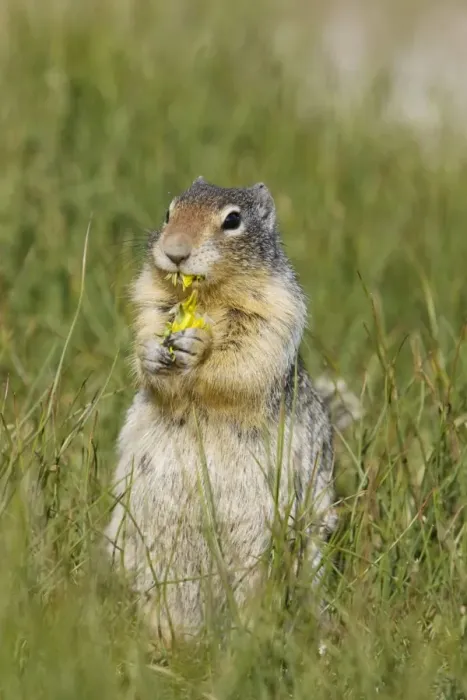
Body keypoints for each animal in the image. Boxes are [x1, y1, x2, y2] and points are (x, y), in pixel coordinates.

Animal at [105, 177, 362, 644]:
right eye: (169, 212)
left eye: (232, 220)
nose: (175, 251)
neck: (205, 295)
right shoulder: (151, 300)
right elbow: (150, 335)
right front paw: (152, 351)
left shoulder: (274, 311)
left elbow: (244, 359)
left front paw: (199, 345)